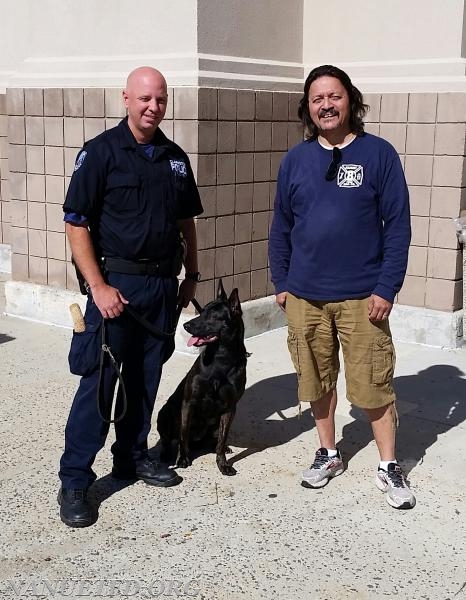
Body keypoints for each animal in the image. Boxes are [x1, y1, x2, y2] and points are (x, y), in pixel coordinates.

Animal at [157, 278, 248, 476]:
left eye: (213, 316)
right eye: (202, 311)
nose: (185, 326)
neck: (221, 358)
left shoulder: (230, 408)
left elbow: (222, 438)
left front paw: (223, 463)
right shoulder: (188, 402)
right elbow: (183, 434)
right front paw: (182, 459)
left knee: (215, 440)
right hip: (166, 413)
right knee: (169, 439)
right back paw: (166, 453)